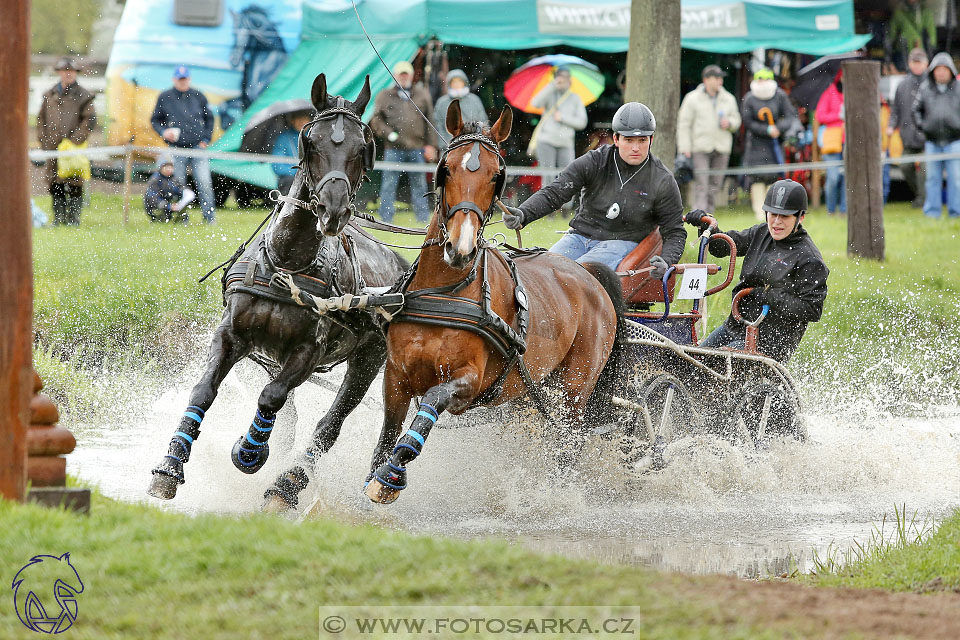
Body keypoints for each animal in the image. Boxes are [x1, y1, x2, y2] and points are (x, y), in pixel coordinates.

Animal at [148, 74, 406, 504]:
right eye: (311, 141)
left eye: (362, 147)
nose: (334, 210)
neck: (286, 263)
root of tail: (402, 266)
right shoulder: (231, 335)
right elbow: (203, 391)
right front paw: (170, 464)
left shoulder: (308, 351)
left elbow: (272, 396)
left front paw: (249, 452)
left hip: (369, 358)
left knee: (331, 423)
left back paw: (289, 482)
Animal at [356, 100, 628, 502]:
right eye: (445, 170)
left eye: (496, 175)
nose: (461, 248)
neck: (445, 293)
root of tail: (588, 275)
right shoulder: (396, 375)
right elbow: (386, 434)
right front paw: (376, 477)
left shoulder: (469, 382)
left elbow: (432, 401)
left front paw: (395, 471)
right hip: (533, 388)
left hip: (576, 390)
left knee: (568, 443)